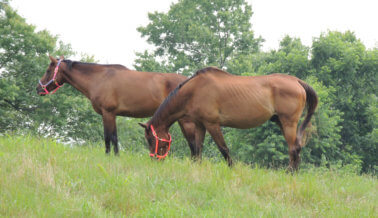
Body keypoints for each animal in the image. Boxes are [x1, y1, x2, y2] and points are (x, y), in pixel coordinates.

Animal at [36, 56, 198, 155]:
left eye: (48, 70)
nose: (38, 89)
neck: (99, 78)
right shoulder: (112, 115)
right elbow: (113, 137)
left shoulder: (108, 113)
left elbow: (109, 137)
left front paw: (110, 157)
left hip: (185, 120)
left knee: (193, 143)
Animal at [140, 66, 318, 170]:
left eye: (152, 139)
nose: (154, 160)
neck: (194, 90)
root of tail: (296, 81)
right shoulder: (200, 124)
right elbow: (198, 148)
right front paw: (196, 167)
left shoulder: (212, 124)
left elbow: (223, 149)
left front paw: (232, 168)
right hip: (281, 122)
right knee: (296, 148)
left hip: (289, 123)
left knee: (293, 149)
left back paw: (290, 173)